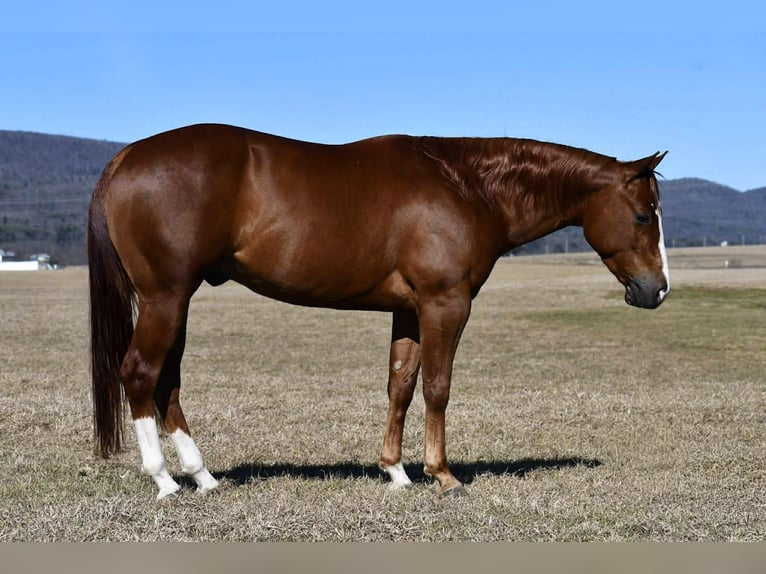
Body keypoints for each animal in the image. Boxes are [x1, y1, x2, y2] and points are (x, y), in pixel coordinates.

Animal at [88, 123, 669, 499]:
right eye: (644, 215)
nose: (656, 291)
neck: (466, 187)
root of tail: (125, 158)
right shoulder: (445, 304)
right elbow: (438, 386)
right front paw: (442, 475)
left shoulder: (409, 312)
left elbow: (401, 385)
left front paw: (396, 472)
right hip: (166, 297)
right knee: (139, 373)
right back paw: (164, 480)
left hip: (177, 301)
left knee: (167, 382)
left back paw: (202, 476)